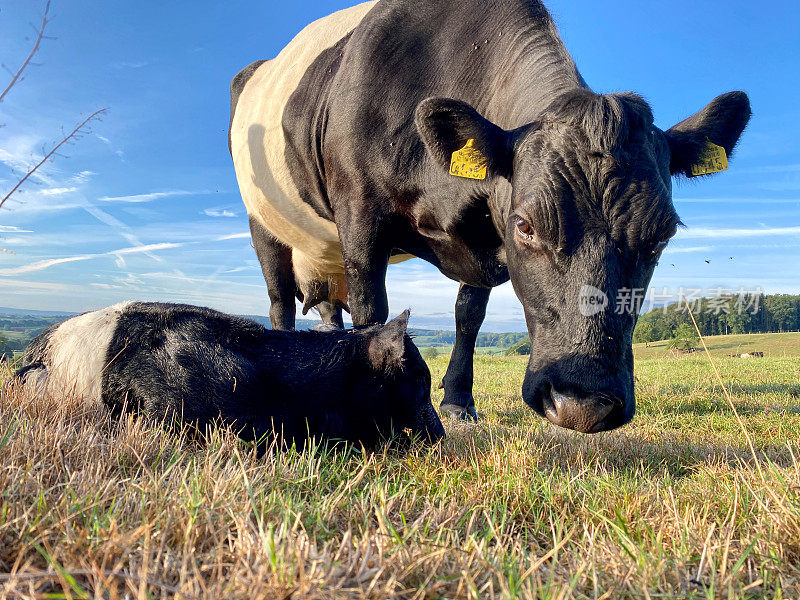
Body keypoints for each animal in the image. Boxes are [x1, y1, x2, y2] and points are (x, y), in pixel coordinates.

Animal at [230, 0, 752, 432]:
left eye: (661, 236)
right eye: (526, 225)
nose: (581, 405)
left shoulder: (483, 235)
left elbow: (469, 313)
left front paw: (459, 401)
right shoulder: (360, 213)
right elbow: (372, 310)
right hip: (264, 222)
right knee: (279, 301)